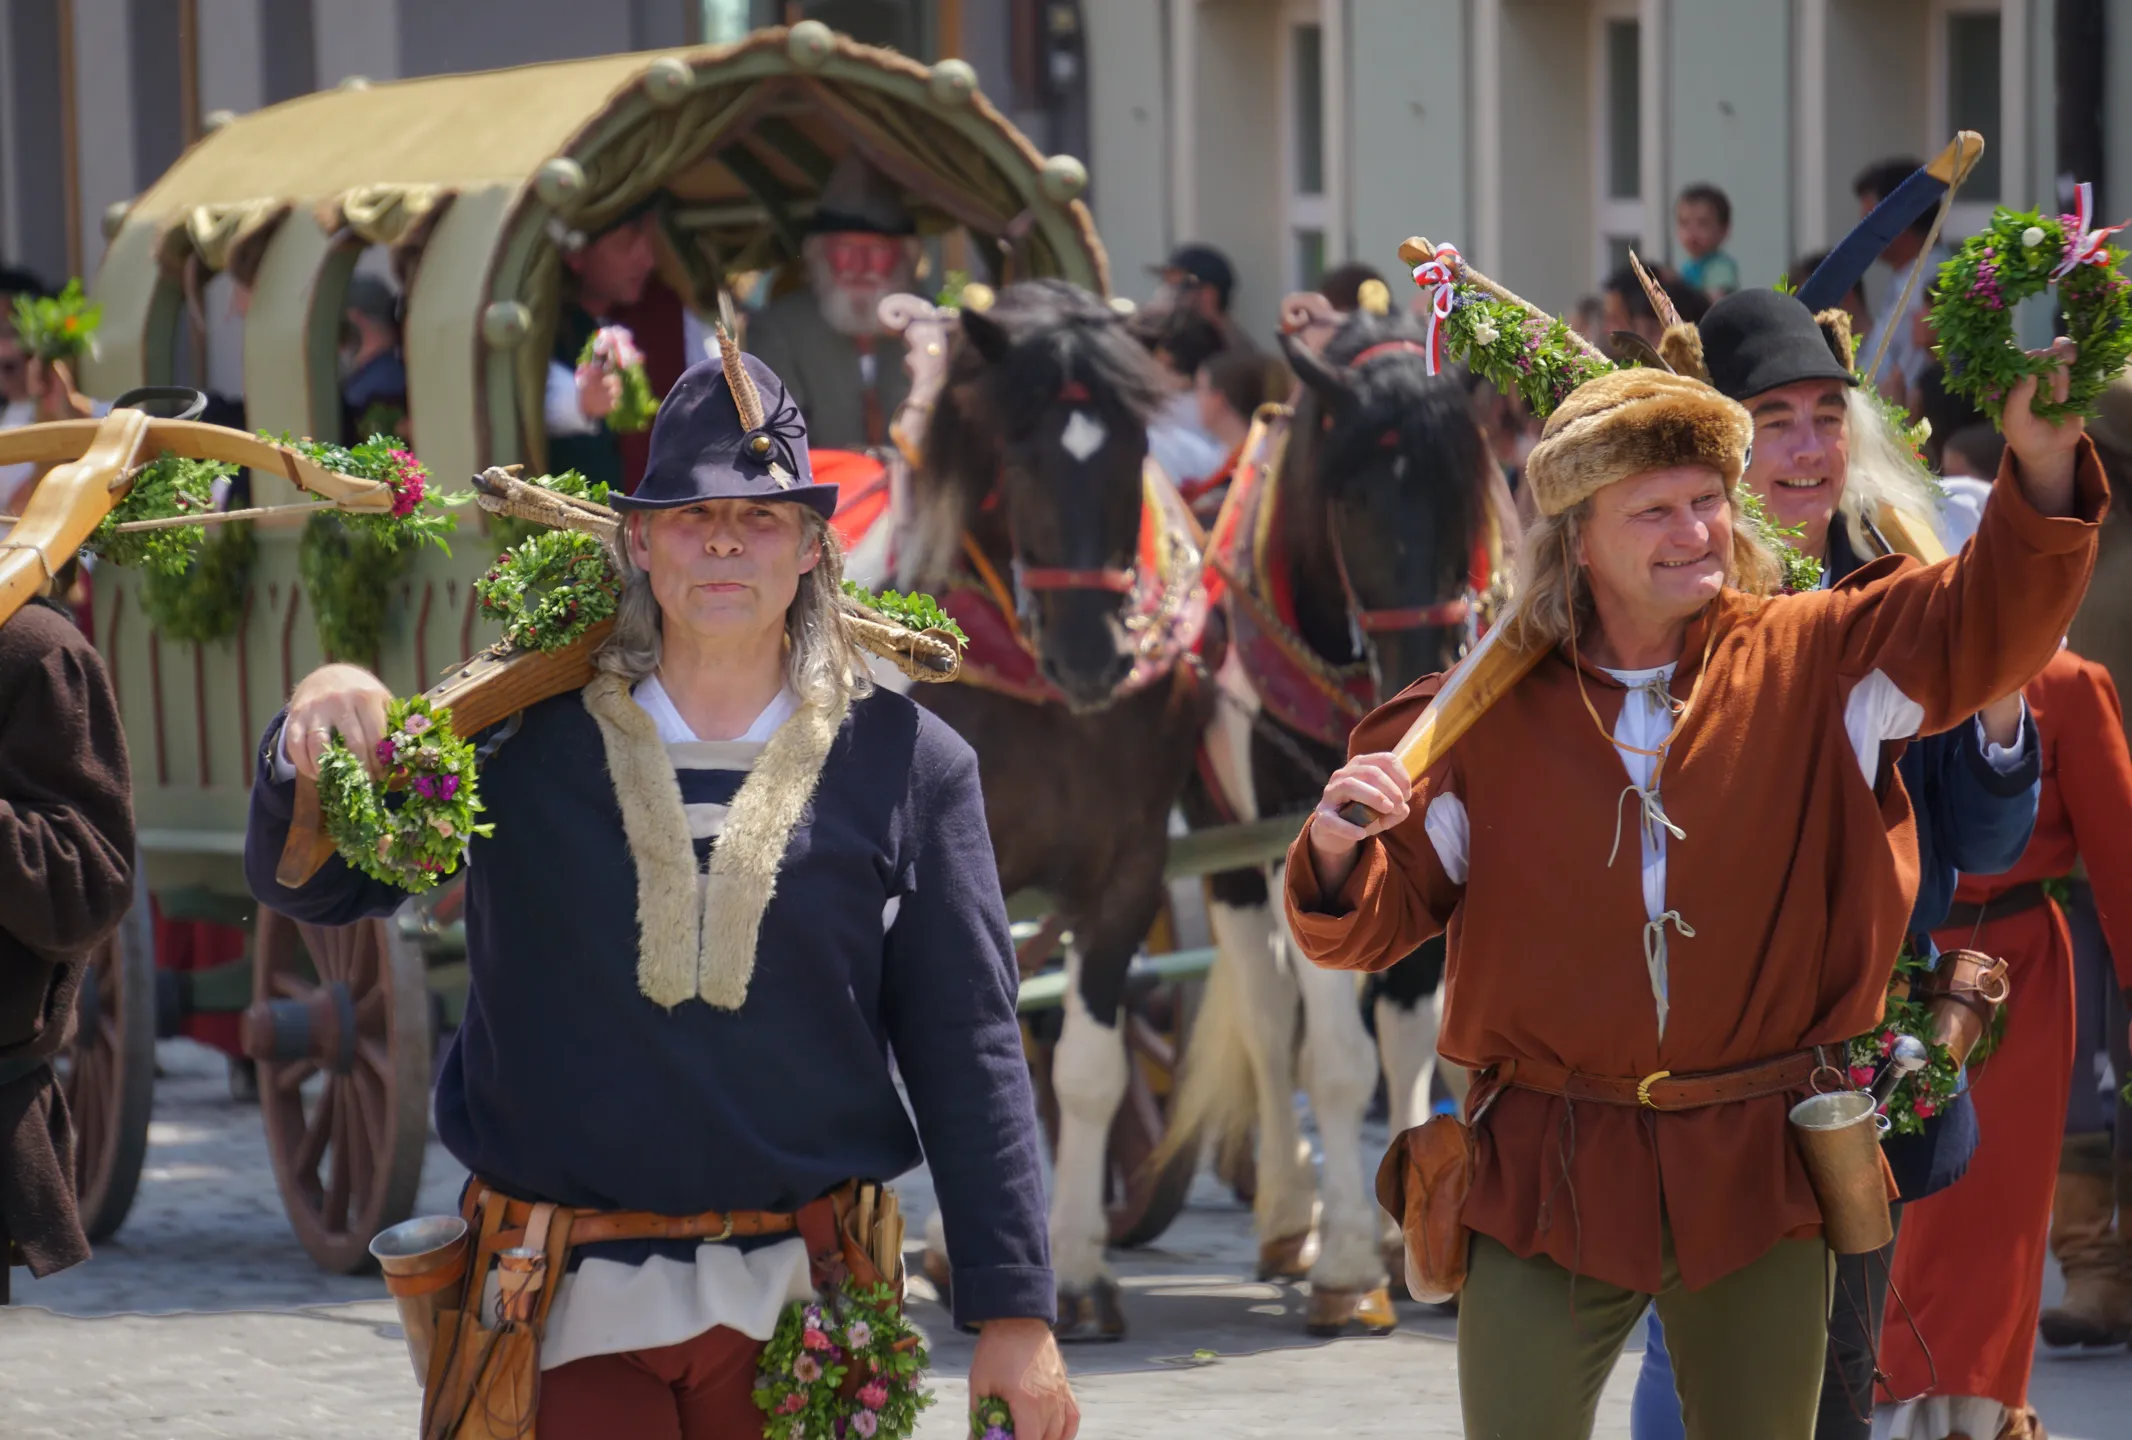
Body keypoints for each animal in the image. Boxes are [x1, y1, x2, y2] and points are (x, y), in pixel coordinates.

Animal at [890, 279, 1213, 1339]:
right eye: (1022, 456)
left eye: (1136, 449)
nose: (1092, 654)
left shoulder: (1130, 870)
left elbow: (1082, 1066)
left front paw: (1071, 1271)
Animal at [1171, 301, 1503, 1334]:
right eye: (1350, 502)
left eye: (1468, 498)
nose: (1425, 667)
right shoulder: (1296, 830)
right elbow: (1338, 1059)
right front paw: (1351, 1265)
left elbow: (1409, 1032)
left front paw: (1412, 1237)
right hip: (1227, 854)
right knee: (1270, 1019)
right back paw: (1289, 1214)